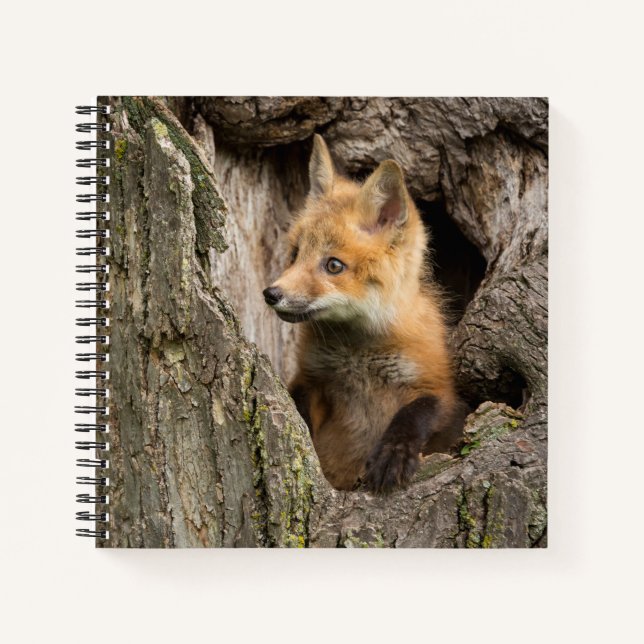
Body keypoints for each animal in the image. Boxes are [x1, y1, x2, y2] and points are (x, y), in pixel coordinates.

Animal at [263, 134, 465, 494]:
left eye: (333, 265)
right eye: (295, 254)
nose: (272, 294)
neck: (357, 355)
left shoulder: (440, 387)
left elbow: (416, 412)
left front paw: (393, 454)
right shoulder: (312, 379)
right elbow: (300, 410)